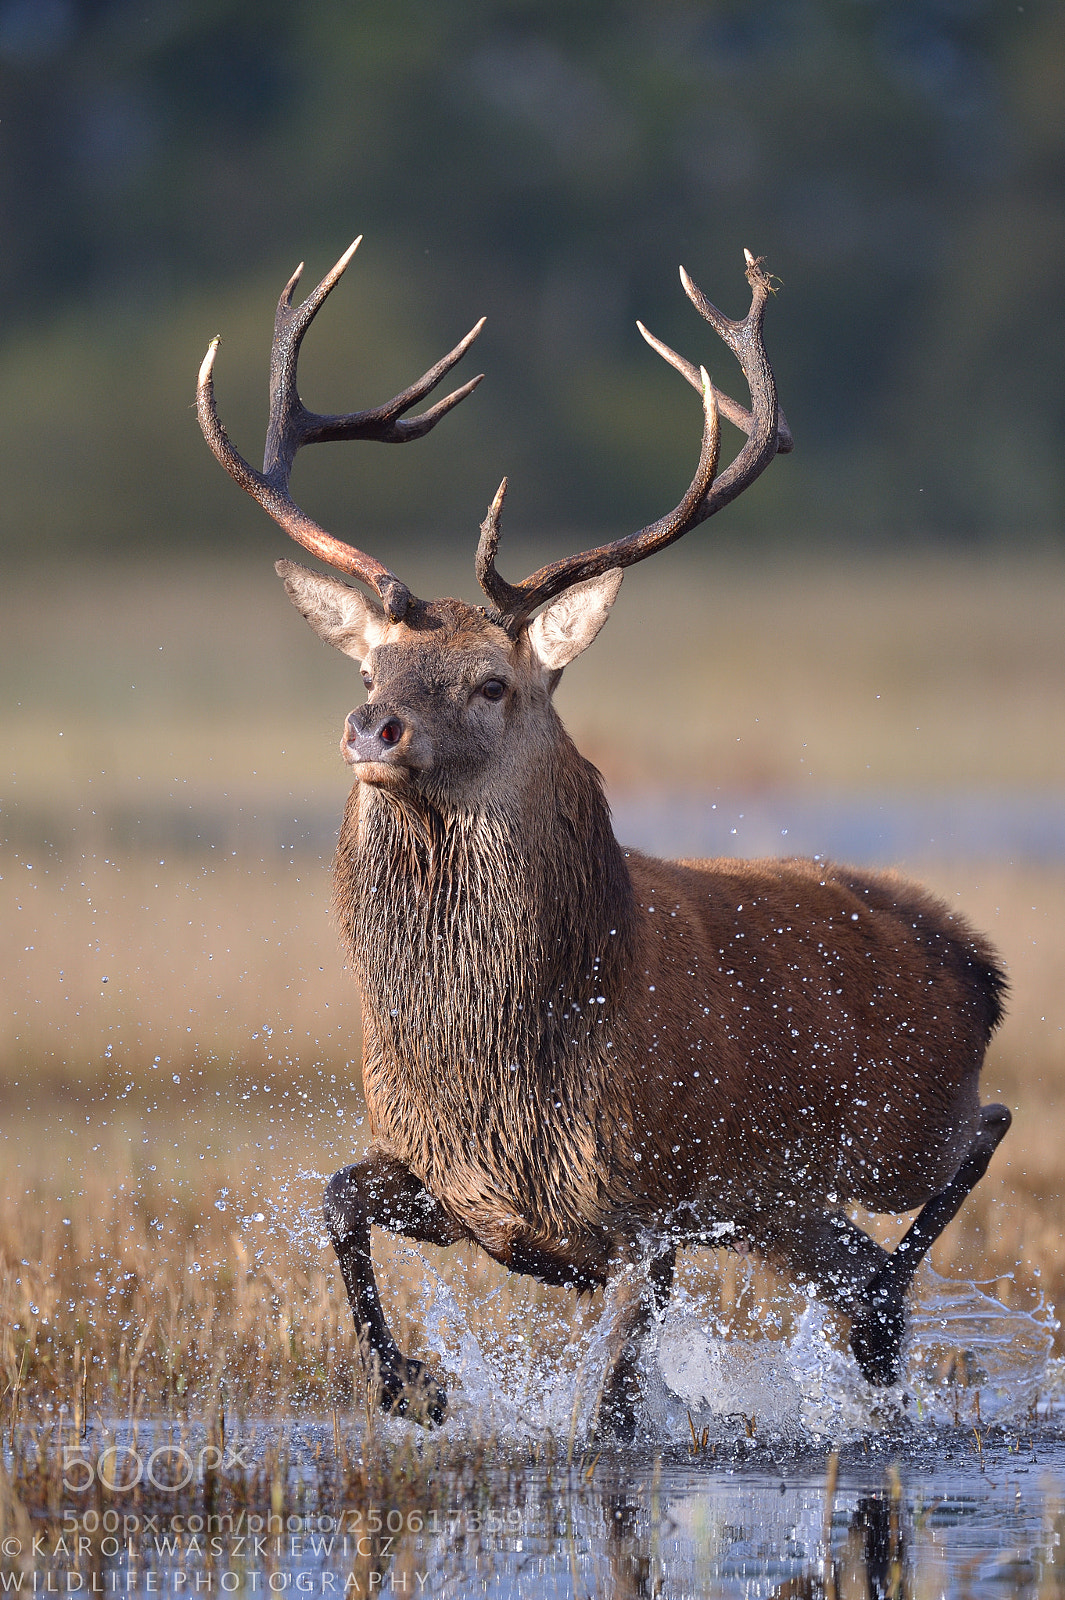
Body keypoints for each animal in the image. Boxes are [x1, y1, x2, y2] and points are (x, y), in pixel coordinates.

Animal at [197, 238, 1010, 1440]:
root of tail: (975, 958)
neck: (500, 1069)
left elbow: (614, 1406)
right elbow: (337, 1196)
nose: (371, 725)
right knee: (860, 1270)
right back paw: (870, 1356)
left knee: (978, 1137)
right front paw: (413, 1385)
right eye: (372, 666)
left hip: (895, 1126)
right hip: (781, 1199)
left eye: (493, 683)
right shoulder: (467, 1190)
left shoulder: (649, 1201)